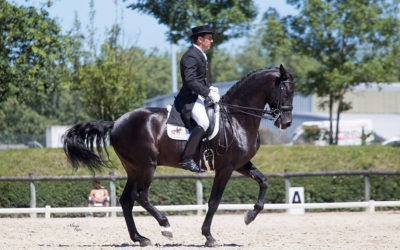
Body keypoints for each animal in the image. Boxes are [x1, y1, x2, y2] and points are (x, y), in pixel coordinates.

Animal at [62, 63, 294, 247]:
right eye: (285, 90)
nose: (286, 123)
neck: (237, 118)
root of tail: (117, 122)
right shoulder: (225, 168)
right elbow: (214, 201)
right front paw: (208, 236)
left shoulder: (241, 164)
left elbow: (263, 181)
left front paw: (250, 216)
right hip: (147, 165)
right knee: (140, 196)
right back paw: (165, 226)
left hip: (134, 168)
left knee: (127, 199)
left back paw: (140, 238)